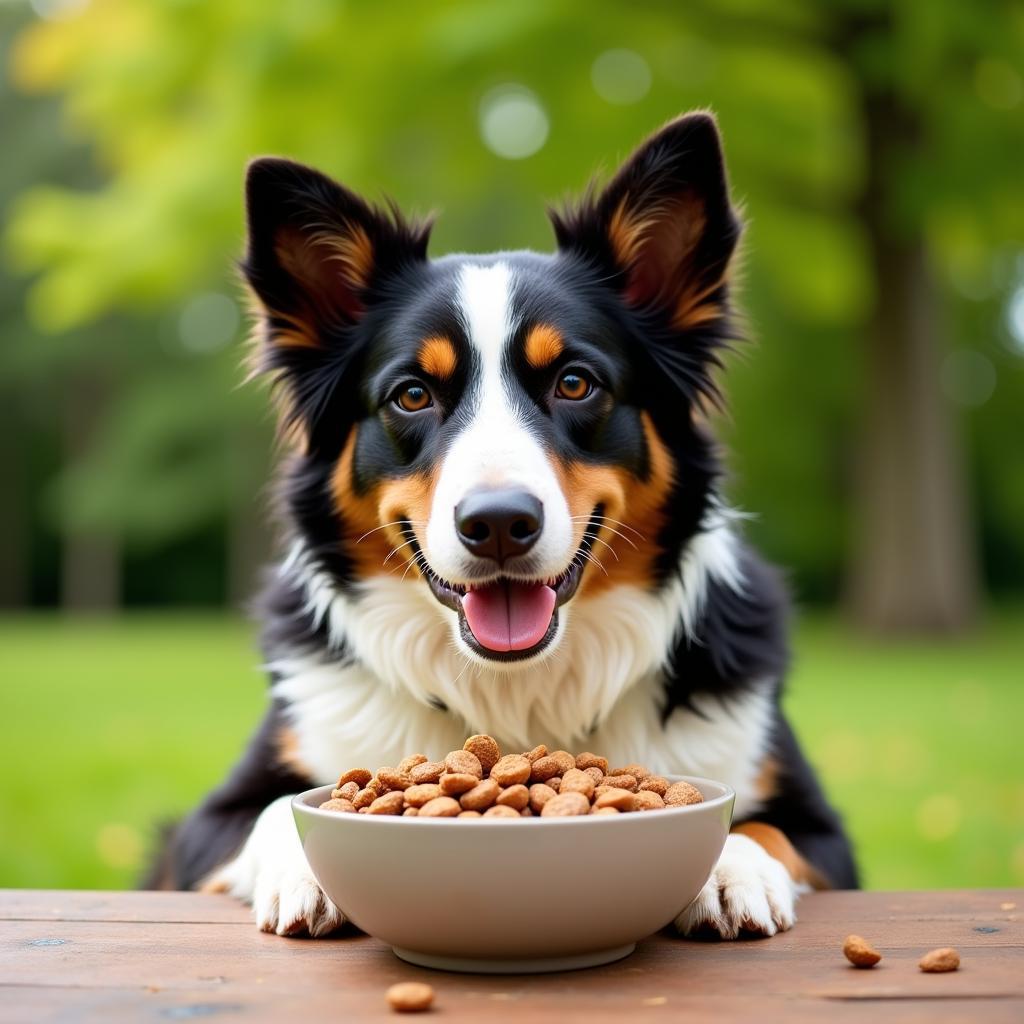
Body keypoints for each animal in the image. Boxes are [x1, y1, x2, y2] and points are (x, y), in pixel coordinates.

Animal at [151, 112, 856, 937]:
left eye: (575, 383)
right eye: (412, 395)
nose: (496, 524)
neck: (516, 695)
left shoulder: (823, 828)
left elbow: (761, 822)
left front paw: (728, 864)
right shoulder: (206, 825)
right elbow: (272, 811)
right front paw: (308, 864)